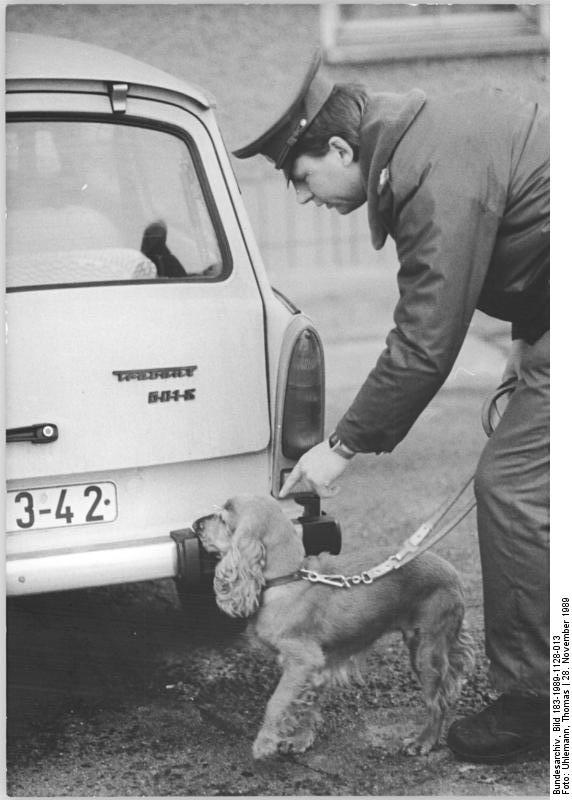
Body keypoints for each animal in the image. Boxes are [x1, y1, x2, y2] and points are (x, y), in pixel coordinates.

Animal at [192, 494, 474, 764]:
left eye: (223, 519)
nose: (196, 525)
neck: (287, 578)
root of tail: (455, 573)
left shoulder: (302, 660)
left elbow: (277, 701)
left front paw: (265, 742)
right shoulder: (316, 669)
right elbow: (305, 705)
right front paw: (300, 740)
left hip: (426, 650)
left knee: (437, 702)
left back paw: (423, 741)